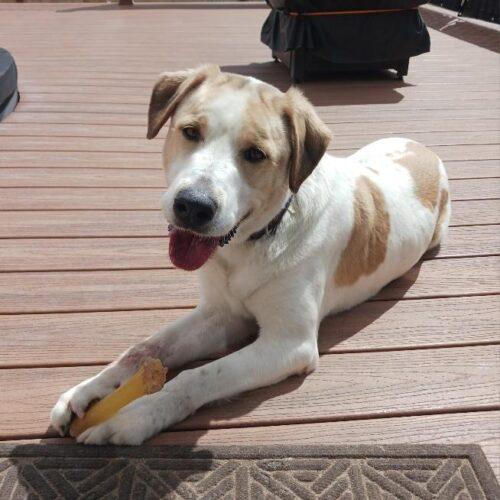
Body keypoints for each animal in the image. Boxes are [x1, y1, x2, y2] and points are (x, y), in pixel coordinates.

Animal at [49, 65, 450, 446]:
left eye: (256, 154)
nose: (193, 206)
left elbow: (199, 376)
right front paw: (84, 392)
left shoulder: (289, 344)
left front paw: (135, 417)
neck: (248, 247)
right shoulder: (222, 314)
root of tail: (424, 147)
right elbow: (145, 347)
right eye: (190, 131)